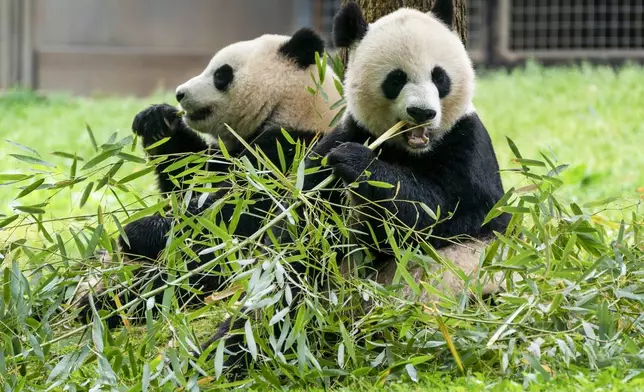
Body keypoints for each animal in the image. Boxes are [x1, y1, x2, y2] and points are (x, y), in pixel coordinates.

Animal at [75, 28, 342, 328]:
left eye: (221, 74)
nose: (179, 93)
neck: (294, 107)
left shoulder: (291, 152)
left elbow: (233, 216)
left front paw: (137, 232)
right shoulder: (228, 153)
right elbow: (188, 179)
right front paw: (157, 120)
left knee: (188, 277)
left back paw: (106, 304)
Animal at [204, 0, 510, 376]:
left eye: (439, 77)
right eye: (396, 79)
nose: (422, 112)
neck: (407, 149)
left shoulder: (469, 144)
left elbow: (450, 214)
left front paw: (359, 165)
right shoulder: (343, 135)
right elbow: (302, 230)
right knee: (281, 302)